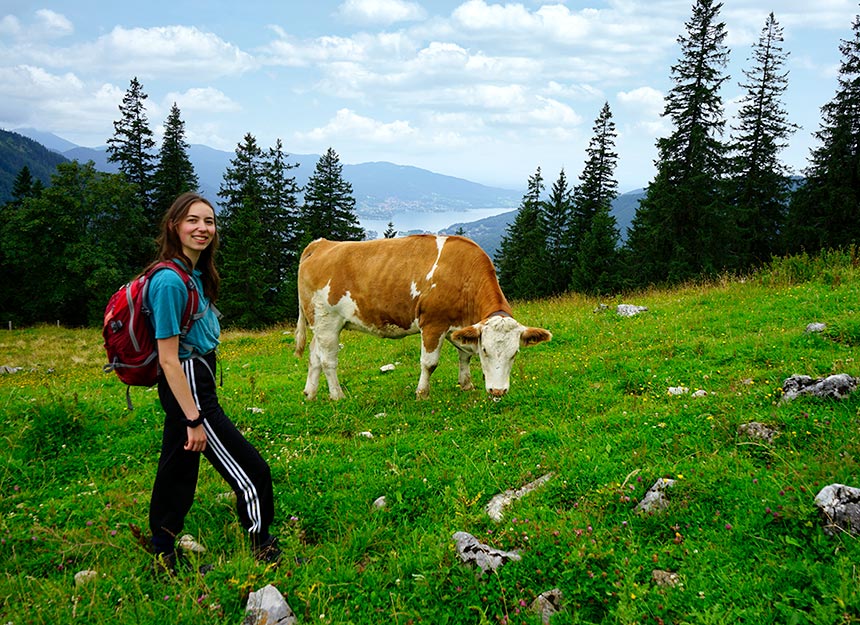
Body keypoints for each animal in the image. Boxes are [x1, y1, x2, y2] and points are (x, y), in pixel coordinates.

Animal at [294, 234, 552, 400]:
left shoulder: (460, 327)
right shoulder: (433, 324)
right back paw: (337, 396)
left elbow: (465, 355)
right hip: (327, 320)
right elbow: (429, 363)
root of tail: (322, 244)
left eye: (515, 353)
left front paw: (466, 384)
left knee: (314, 355)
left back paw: (310, 393)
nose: (498, 392)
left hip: (319, 322)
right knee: (328, 361)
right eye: (486, 351)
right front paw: (422, 393)